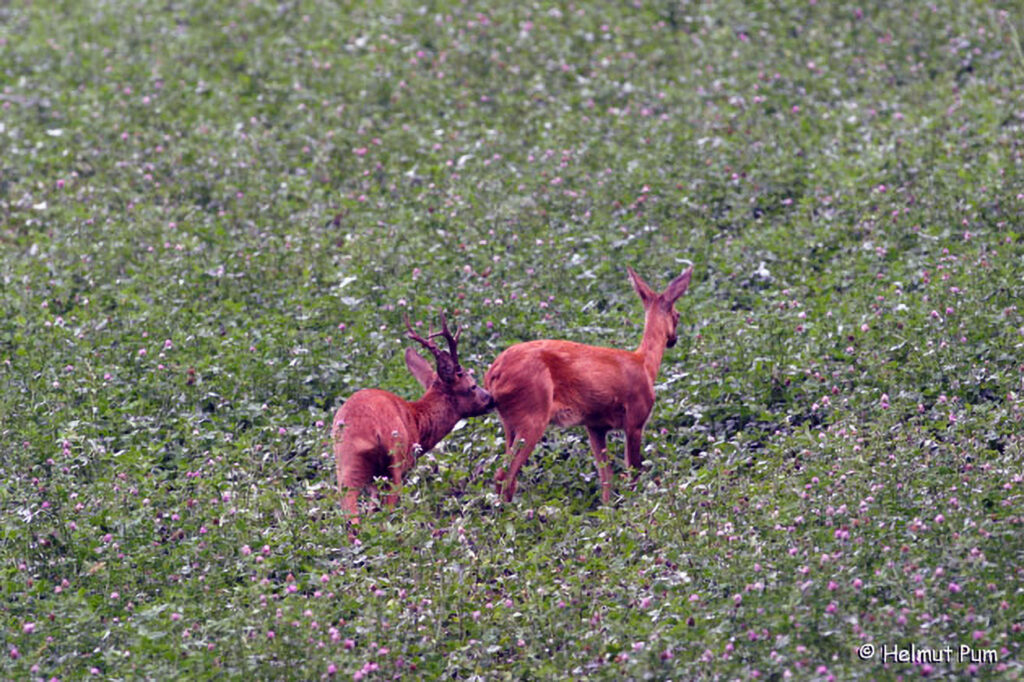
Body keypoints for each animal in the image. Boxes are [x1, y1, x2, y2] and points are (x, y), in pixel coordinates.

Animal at [332, 313, 494, 523]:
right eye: (473, 385)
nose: (491, 399)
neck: (418, 421)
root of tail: (368, 430)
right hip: (394, 463)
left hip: (346, 464)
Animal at [485, 265, 693, 504]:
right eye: (678, 315)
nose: (673, 340)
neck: (645, 365)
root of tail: (493, 373)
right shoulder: (635, 418)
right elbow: (633, 471)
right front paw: (633, 505)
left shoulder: (595, 425)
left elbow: (607, 478)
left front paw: (609, 508)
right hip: (533, 412)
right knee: (504, 474)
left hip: (509, 421)